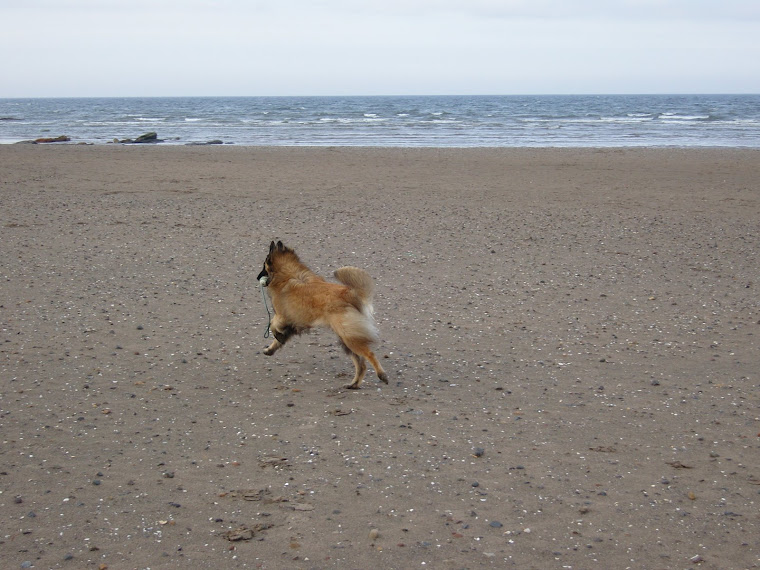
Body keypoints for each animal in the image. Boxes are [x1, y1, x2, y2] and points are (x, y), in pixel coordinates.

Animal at [256, 240, 388, 390]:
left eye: (264, 266)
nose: (257, 277)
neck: (287, 274)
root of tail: (350, 293)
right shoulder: (290, 322)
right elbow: (278, 337)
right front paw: (270, 349)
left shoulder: (282, 316)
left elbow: (272, 325)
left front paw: (277, 336)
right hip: (346, 340)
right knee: (361, 365)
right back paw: (353, 384)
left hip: (349, 338)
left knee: (369, 355)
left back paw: (381, 375)